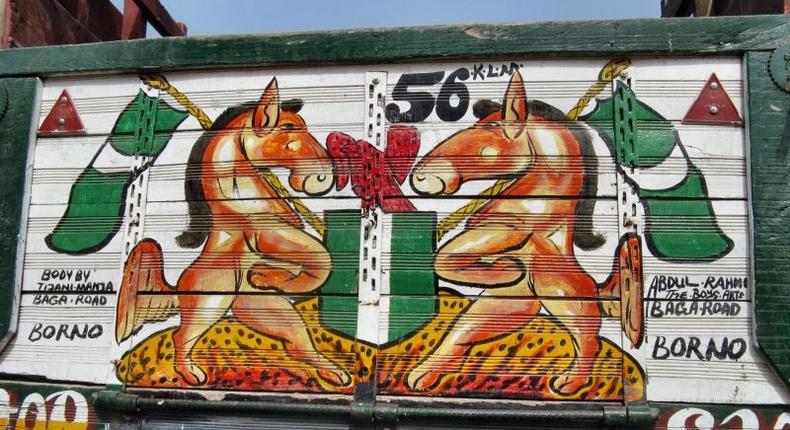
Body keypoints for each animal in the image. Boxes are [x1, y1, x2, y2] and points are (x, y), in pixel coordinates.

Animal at [114, 77, 350, 386]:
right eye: (288, 128)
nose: (320, 176)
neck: (240, 198)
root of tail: (177, 291)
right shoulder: (268, 235)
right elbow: (323, 261)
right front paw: (271, 277)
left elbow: (315, 264)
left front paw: (264, 276)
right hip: (210, 304)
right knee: (181, 335)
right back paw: (192, 373)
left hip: (270, 312)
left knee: (296, 345)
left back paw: (326, 372)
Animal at [408, 71, 644, 396]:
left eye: (492, 128)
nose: (423, 177)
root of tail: (598, 291)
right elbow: (445, 261)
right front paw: (504, 268)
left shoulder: (507, 231)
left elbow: (444, 259)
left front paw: (505, 268)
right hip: (500, 308)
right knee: (460, 336)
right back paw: (423, 375)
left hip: (563, 300)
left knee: (589, 335)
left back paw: (569, 382)